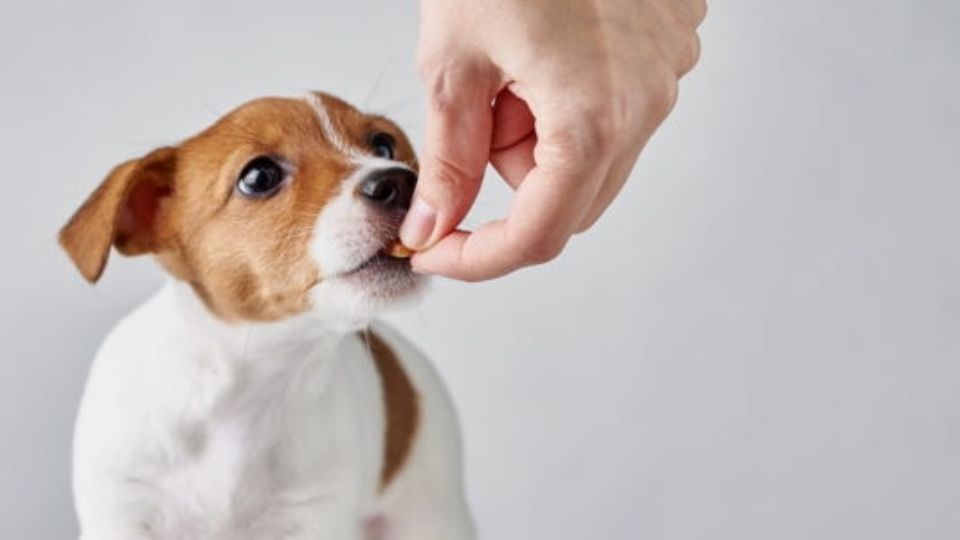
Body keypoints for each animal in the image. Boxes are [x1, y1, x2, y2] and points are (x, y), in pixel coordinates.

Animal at [59, 93, 476, 540]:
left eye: (383, 145)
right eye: (259, 177)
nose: (402, 182)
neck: (250, 393)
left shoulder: (316, 518)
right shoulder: (122, 514)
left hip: (431, 514)